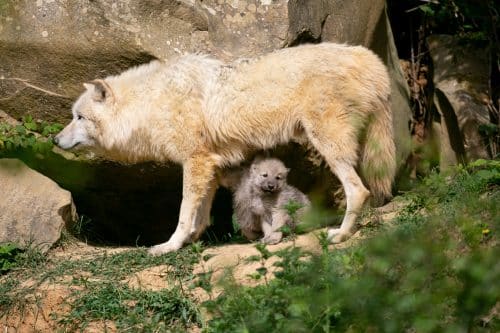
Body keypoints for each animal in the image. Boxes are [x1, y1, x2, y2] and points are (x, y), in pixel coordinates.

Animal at [54, 42, 396, 254]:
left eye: (79, 117)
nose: (55, 140)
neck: (152, 102)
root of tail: (372, 60)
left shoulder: (195, 162)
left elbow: (183, 212)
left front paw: (169, 246)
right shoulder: (212, 167)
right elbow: (201, 215)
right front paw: (190, 241)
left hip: (329, 146)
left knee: (359, 190)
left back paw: (340, 235)